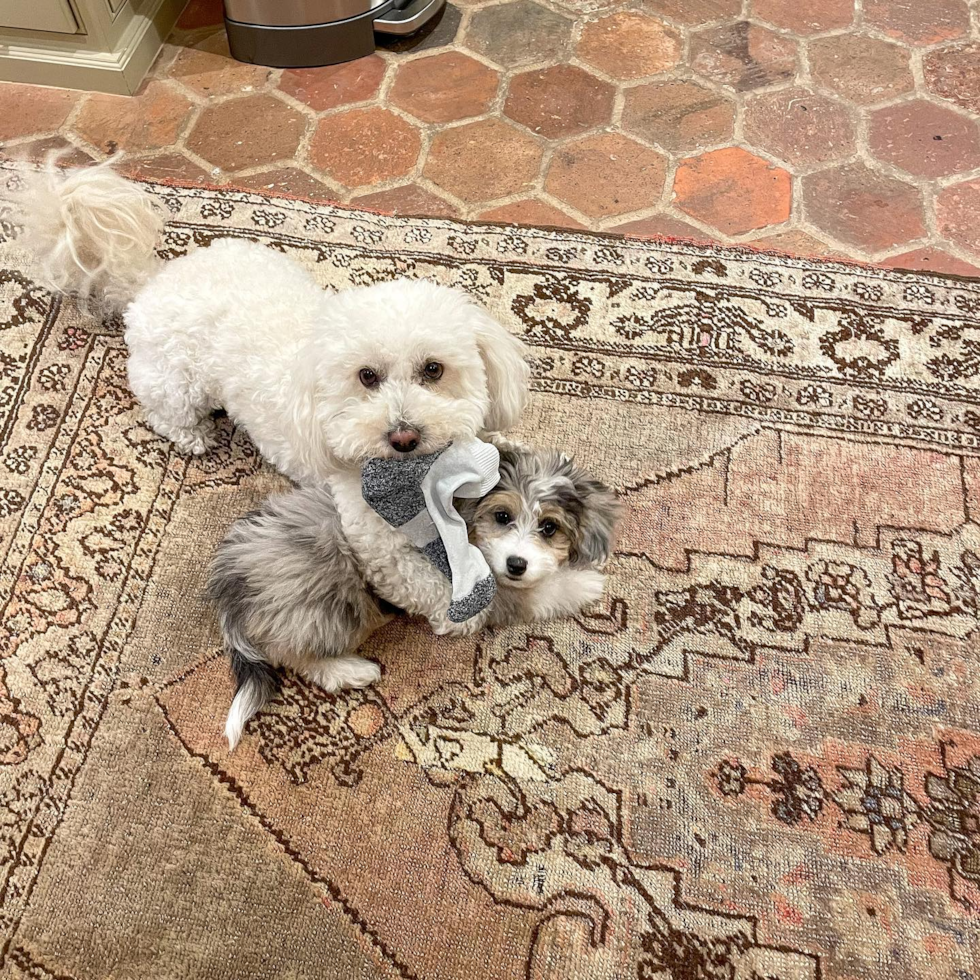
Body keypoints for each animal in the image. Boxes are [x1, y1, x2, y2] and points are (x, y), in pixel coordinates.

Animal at [23, 165, 556, 688]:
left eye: (433, 369)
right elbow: (421, 580)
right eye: (367, 376)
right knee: (164, 409)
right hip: (176, 383)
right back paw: (194, 435)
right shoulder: (375, 540)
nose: (403, 437)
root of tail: (150, 281)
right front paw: (459, 613)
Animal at [212, 448, 624, 748]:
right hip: (326, 603)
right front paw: (586, 583)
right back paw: (350, 670)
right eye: (503, 516)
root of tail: (229, 582)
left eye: (549, 527)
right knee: (297, 654)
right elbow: (534, 594)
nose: (516, 563)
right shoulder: (470, 602)